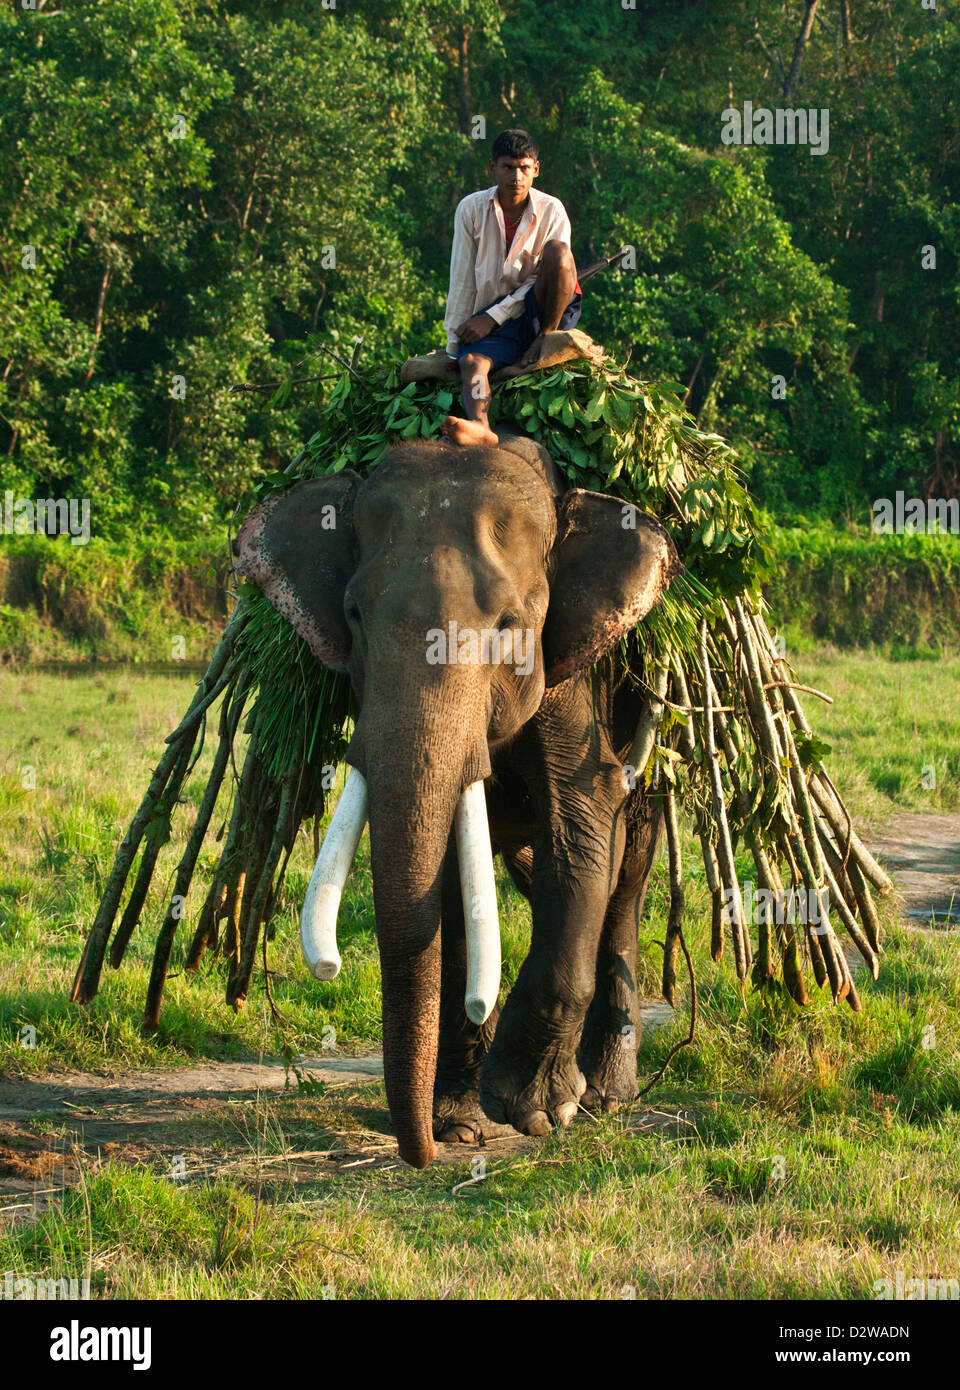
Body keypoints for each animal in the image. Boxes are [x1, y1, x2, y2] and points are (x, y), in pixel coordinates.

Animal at [236, 428, 680, 1167]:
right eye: (354, 615)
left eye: (507, 624)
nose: (417, 1152)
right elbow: (446, 888)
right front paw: (461, 1128)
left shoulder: (566, 672)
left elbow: (583, 827)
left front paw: (532, 1113)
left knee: (628, 868)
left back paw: (605, 1096)